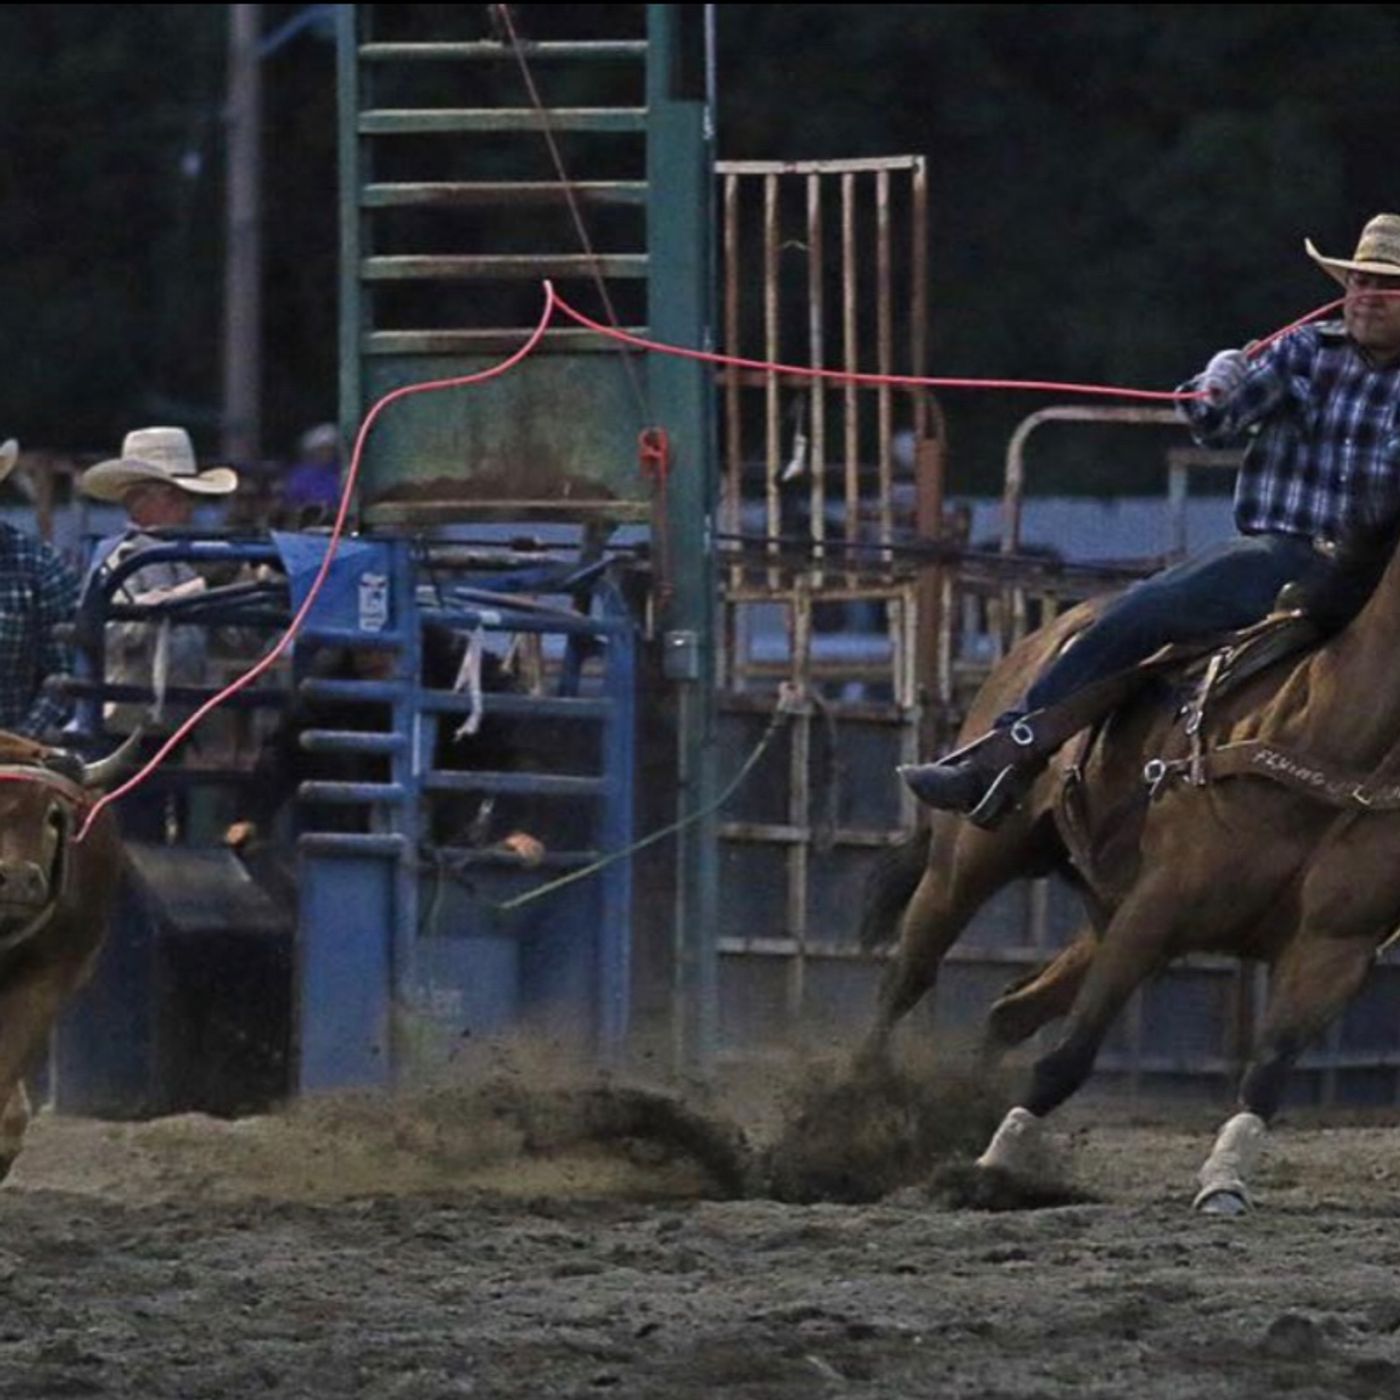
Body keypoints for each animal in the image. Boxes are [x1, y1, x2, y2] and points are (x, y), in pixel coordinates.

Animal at [851, 534, 1400, 1215]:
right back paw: (851, 1111)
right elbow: (1069, 1057)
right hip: (967, 865)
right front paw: (992, 1168)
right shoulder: (1157, 908)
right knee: (908, 977)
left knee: (1011, 1010)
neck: (1335, 735)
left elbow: (1267, 1071)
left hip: (1101, 915)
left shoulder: (1334, 950)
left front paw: (1224, 1180)